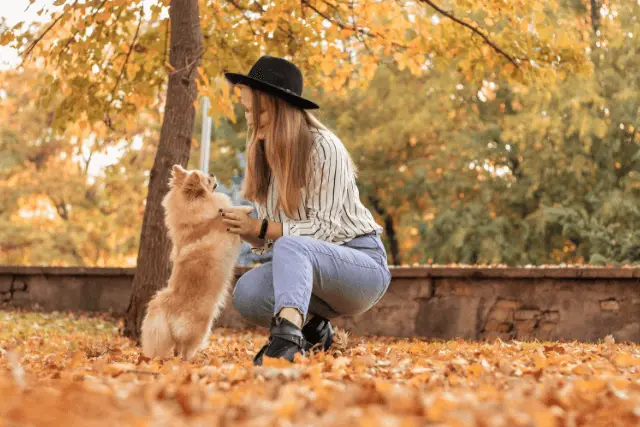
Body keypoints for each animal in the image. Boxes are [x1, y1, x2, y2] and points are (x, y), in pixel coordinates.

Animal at [141, 164, 251, 362]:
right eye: (207, 180)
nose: (212, 173)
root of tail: (166, 308)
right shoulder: (219, 224)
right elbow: (222, 216)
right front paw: (245, 208)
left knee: (178, 349)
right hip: (200, 326)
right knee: (186, 348)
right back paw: (191, 361)